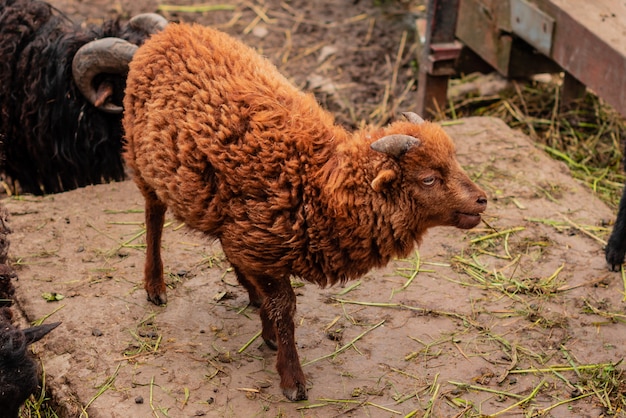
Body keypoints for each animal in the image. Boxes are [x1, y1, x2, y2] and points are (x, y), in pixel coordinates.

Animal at [119, 22, 486, 402]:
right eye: (428, 178)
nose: (482, 200)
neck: (316, 184)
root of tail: (169, 32)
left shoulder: (254, 241)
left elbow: (273, 302)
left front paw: (267, 332)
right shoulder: (266, 251)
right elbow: (285, 310)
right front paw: (292, 379)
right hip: (142, 161)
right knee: (153, 219)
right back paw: (155, 286)